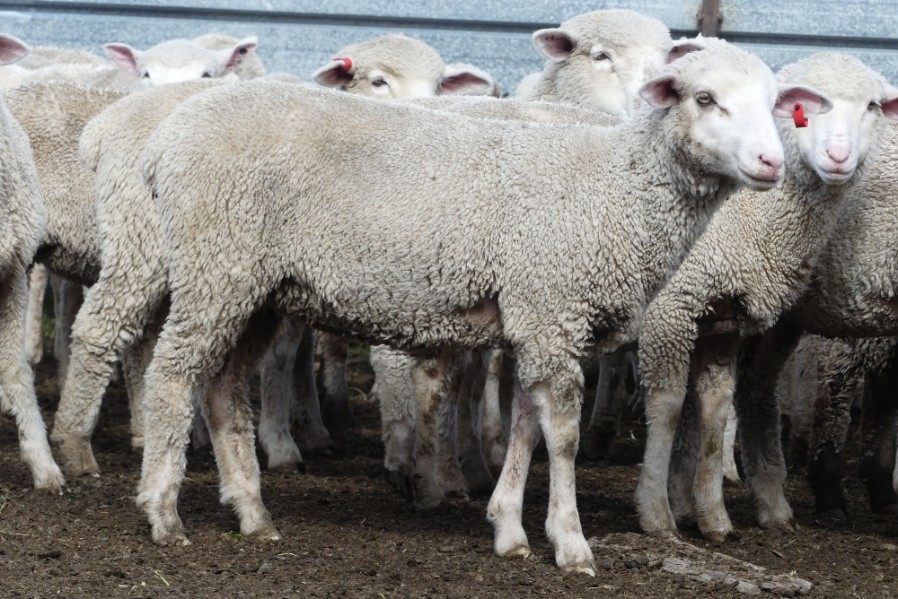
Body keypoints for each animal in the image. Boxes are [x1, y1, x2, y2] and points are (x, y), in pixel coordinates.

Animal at [133, 39, 820, 576]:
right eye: (704, 98)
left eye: (774, 105)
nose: (770, 162)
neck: (618, 188)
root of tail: (165, 140)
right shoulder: (553, 306)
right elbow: (562, 437)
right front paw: (570, 543)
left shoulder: (537, 318)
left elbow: (525, 426)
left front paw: (509, 529)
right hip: (216, 263)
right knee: (171, 375)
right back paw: (164, 512)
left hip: (256, 288)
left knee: (223, 388)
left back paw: (252, 512)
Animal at [632, 54, 896, 544]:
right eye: (805, 108)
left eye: (872, 106)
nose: (838, 157)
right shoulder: (670, 309)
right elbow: (668, 406)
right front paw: (655, 514)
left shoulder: (722, 319)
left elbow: (714, 407)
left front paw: (712, 516)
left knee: (757, 390)